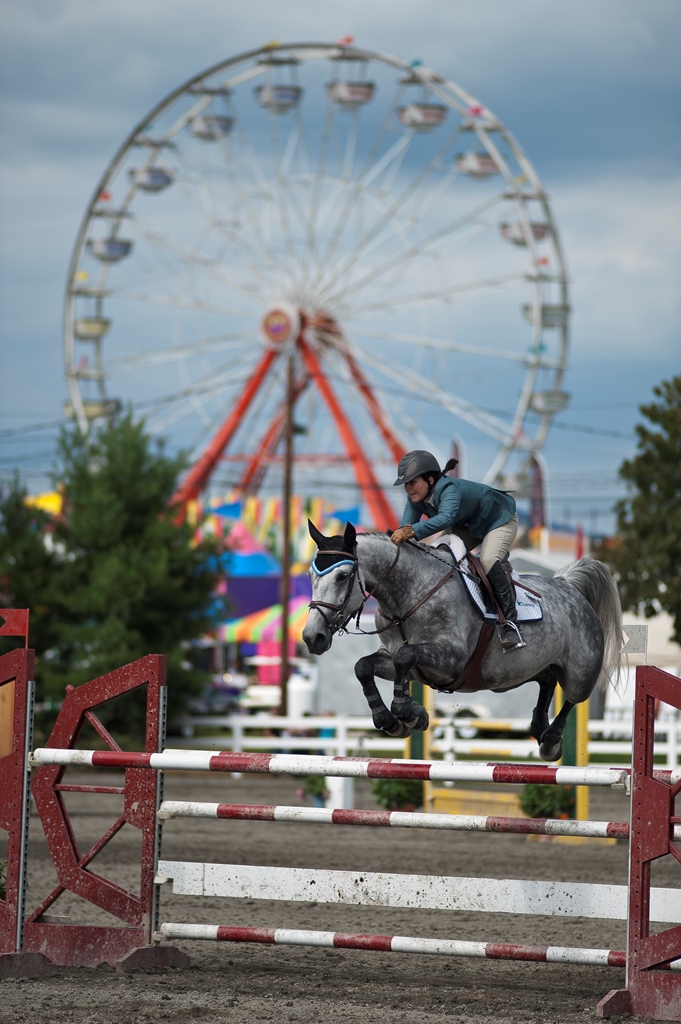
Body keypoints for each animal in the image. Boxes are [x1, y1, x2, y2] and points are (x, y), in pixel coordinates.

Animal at [303, 520, 622, 761]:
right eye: (310, 575)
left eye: (343, 575)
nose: (312, 637)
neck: (409, 596)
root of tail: (569, 587)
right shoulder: (394, 658)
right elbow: (363, 666)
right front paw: (391, 721)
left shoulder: (451, 660)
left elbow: (405, 657)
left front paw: (410, 714)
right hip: (528, 668)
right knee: (546, 680)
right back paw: (539, 727)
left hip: (580, 671)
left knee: (573, 697)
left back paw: (551, 740)